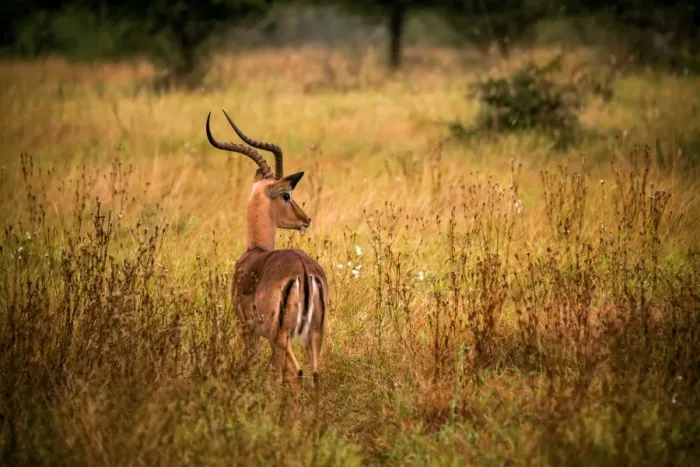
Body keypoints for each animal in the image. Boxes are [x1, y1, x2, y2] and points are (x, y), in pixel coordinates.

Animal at [205, 110, 327, 404]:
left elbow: (257, 367)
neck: (256, 251)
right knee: (315, 374)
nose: (306, 219)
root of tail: (303, 271)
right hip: (314, 332)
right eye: (287, 195)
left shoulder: (248, 329)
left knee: (295, 373)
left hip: (279, 334)